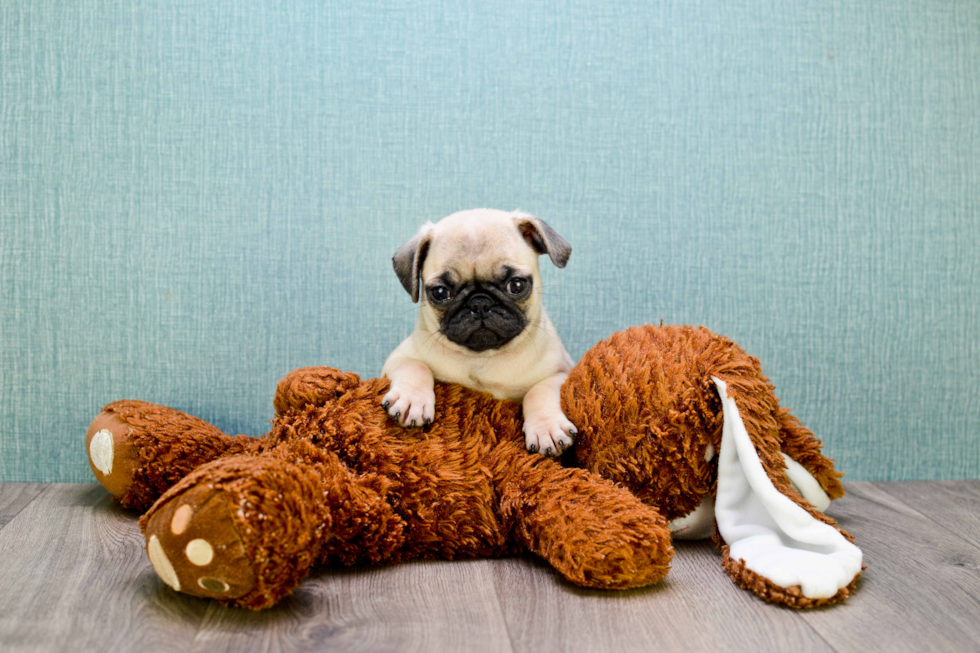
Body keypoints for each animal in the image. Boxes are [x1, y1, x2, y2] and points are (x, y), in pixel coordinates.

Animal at [382, 208, 580, 454]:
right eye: (440, 293)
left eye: (516, 285)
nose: (479, 304)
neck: (484, 356)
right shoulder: (399, 357)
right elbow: (415, 366)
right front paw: (411, 400)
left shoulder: (562, 372)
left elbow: (539, 390)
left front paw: (547, 428)